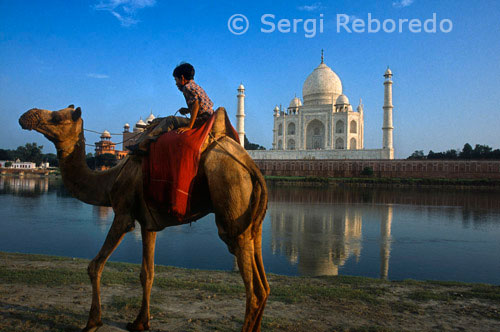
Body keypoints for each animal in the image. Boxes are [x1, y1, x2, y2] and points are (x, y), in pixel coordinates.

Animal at [18, 105, 270, 332]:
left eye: (57, 117)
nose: (27, 115)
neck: (110, 179)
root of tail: (249, 164)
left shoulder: (123, 213)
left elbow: (95, 266)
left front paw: (93, 322)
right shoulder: (148, 222)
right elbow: (147, 273)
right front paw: (140, 322)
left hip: (230, 189)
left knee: (252, 288)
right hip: (252, 213)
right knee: (263, 282)